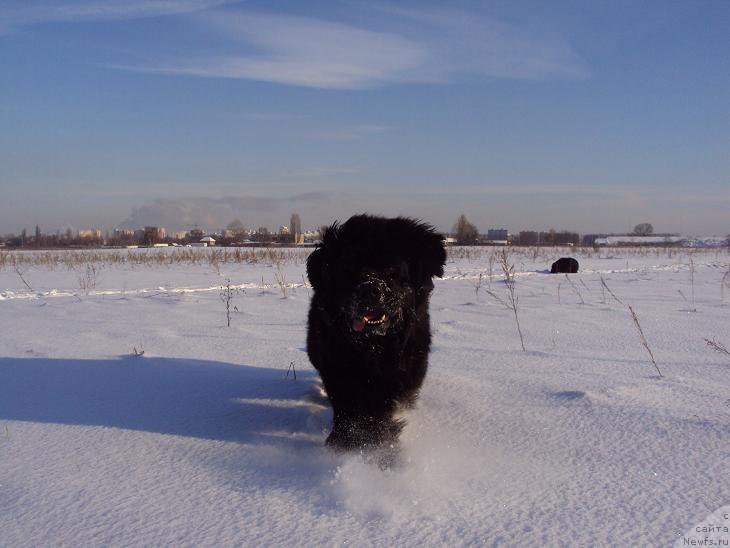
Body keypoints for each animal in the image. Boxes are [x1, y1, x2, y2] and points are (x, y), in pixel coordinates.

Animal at [306, 214, 444, 450]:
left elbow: (380, 417)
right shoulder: (340, 374)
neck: (375, 348)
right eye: (348, 269)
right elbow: (350, 413)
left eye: (391, 269)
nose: (370, 290)